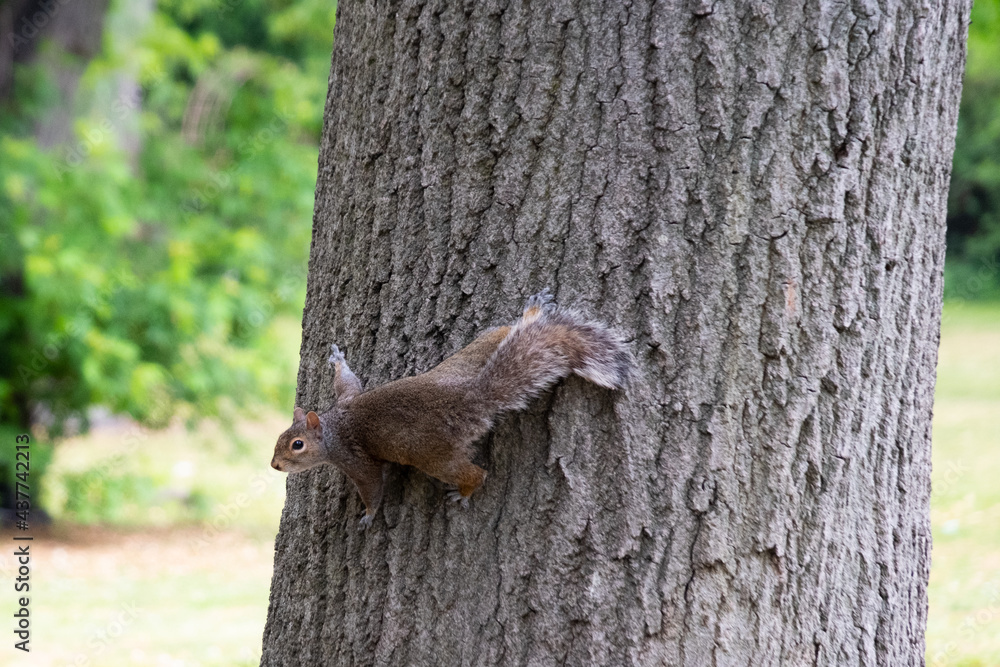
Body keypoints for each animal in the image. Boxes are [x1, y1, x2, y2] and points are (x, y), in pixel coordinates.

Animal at [270, 289, 631, 529]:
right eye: (280, 437)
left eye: (297, 445)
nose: (274, 465)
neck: (332, 426)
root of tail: (470, 399)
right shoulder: (346, 398)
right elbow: (348, 381)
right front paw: (337, 360)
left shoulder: (355, 459)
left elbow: (372, 486)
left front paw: (369, 516)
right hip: (466, 359)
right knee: (506, 332)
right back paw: (532, 312)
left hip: (433, 455)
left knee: (474, 473)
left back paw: (465, 492)